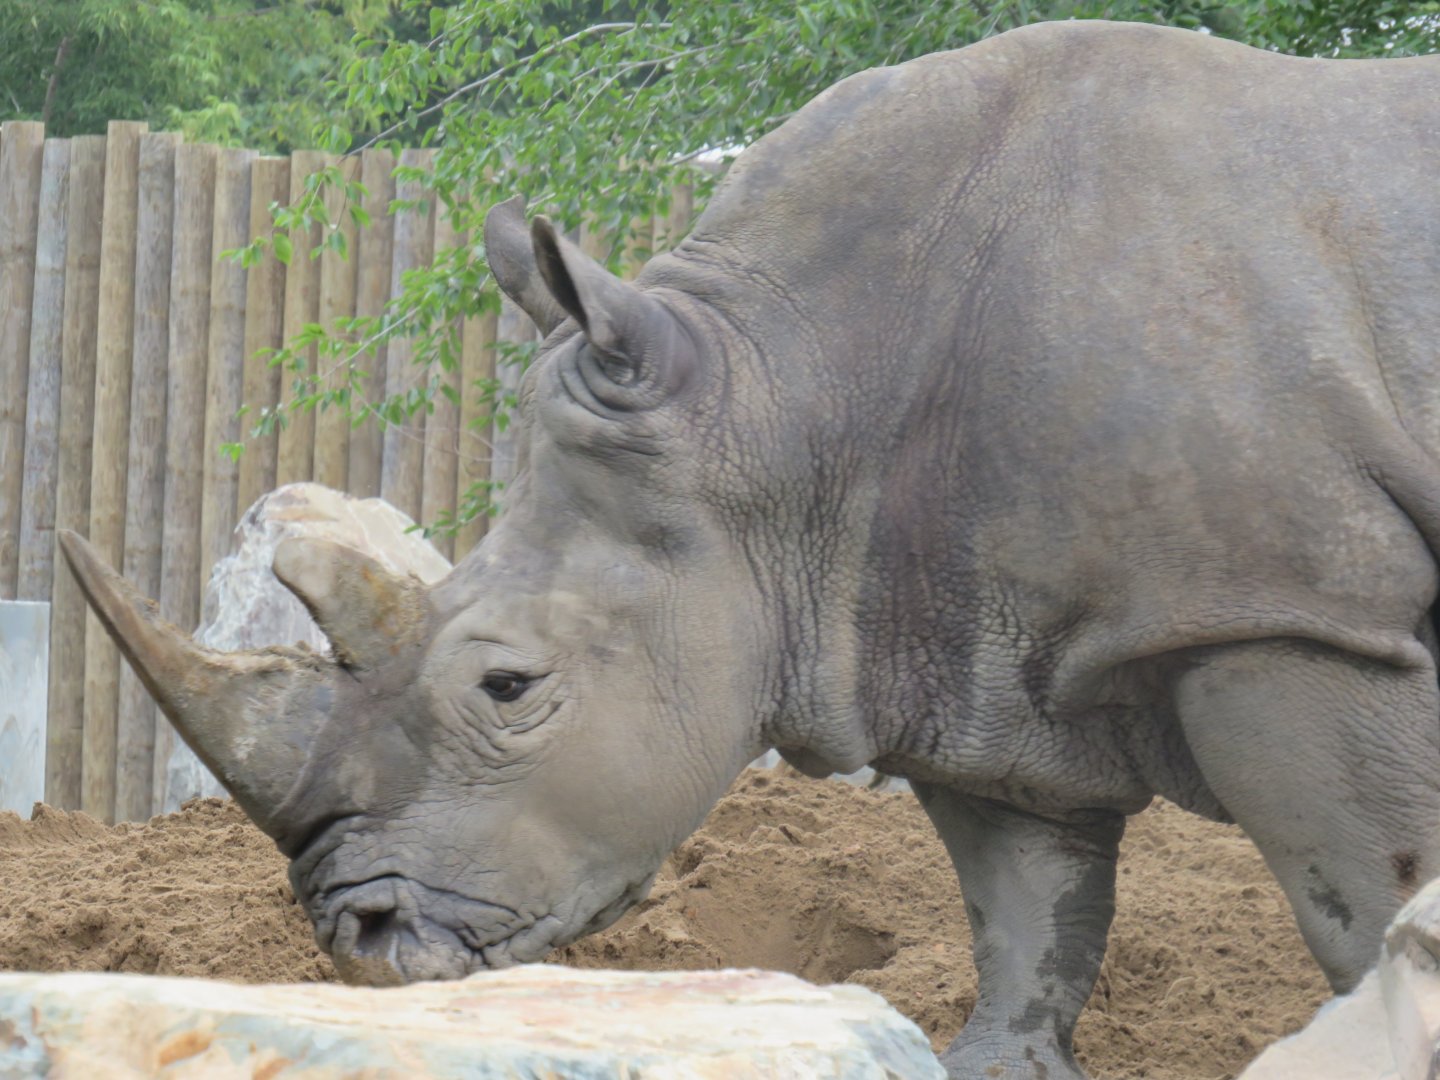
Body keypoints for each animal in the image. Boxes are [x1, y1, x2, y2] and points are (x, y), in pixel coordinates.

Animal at [59, 19, 1440, 1080]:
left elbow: (1365, 894)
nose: (361, 940)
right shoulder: (962, 629)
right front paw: (992, 1061)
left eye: (508, 687)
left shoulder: (1286, 609)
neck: (787, 395)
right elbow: (1025, 910)